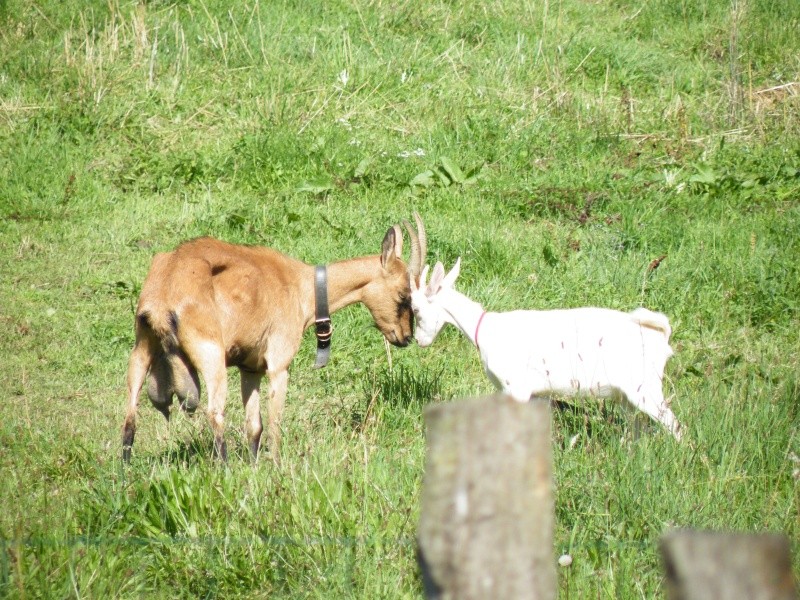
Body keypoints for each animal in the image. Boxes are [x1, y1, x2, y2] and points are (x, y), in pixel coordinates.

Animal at [120, 216, 424, 464]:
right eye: (404, 294)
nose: (405, 337)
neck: (302, 286)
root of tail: (163, 296)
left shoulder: (250, 368)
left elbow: (254, 426)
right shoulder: (278, 365)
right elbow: (275, 422)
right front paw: (277, 467)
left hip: (140, 350)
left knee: (129, 418)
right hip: (211, 356)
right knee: (214, 413)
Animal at [412, 258, 680, 440]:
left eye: (414, 308)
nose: (418, 340)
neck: (486, 330)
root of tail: (660, 337)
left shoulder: (517, 387)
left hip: (645, 388)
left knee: (674, 425)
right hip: (627, 395)